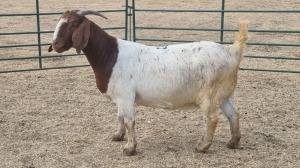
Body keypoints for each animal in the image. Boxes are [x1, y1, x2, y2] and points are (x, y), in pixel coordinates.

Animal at [48, 9, 248, 156]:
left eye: (73, 24)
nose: (55, 43)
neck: (111, 54)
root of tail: (233, 51)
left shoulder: (126, 96)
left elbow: (129, 121)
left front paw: (129, 149)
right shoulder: (120, 96)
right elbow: (119, 117)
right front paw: (118, 136)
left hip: (210, 95)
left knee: (212, 118)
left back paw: (202, 146)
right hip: (224, 93)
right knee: (233, 114)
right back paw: (233, 142)